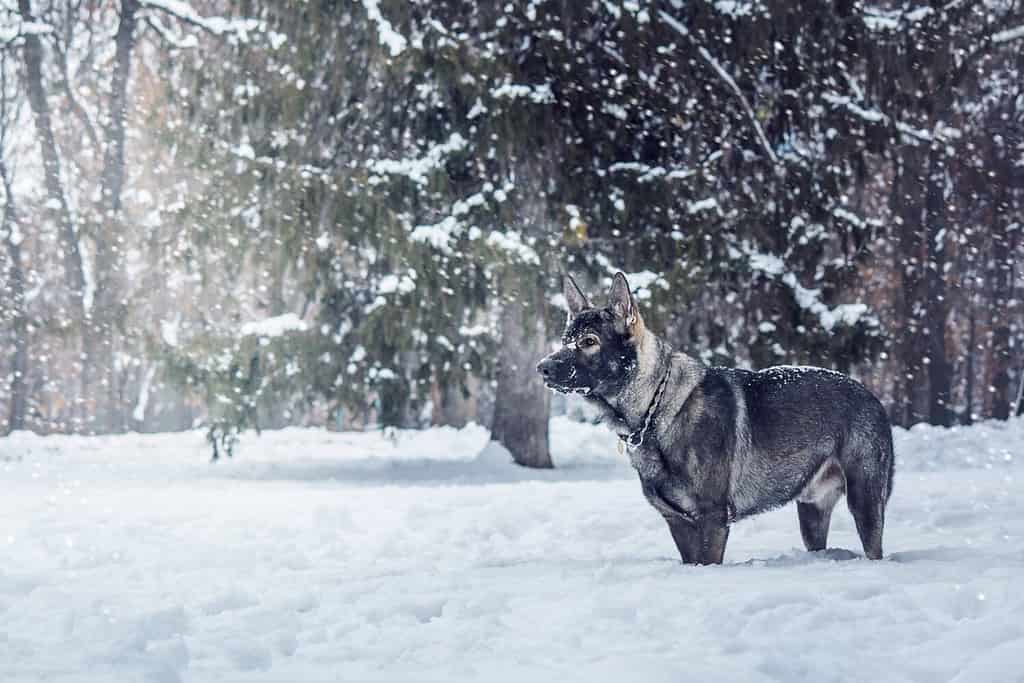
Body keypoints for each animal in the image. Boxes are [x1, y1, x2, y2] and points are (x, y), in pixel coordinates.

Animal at [540, 272, 892, 565]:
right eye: (564, 340)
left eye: (589, 342)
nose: (542, 368)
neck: (657, 408)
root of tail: (870, 394)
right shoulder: (679, 523)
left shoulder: (712, 520)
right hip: (811, 513)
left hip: (864, 502)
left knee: (874, 548)